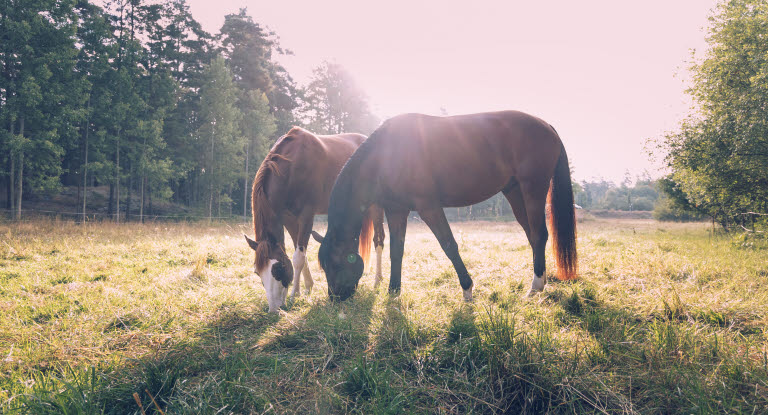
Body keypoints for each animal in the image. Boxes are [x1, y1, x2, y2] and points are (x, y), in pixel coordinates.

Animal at [244, 127, 384, 312]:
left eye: (279, 269)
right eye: (257, 272)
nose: (274, 309)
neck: (291, 167)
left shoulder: (306, 215)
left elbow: (298, 258)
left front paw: (294, 295)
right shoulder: (288, 219)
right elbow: (299, 253)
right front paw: (307, 287)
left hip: (376, 206)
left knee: (379, 241)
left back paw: (377, 281)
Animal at [316, 111, 576, 302]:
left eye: (336, 263)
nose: (335, 299)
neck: (386, 155)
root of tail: (546, 125)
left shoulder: (429, 207)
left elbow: (449, 245)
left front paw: (467, 289)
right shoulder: (396, 211)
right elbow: (396, 251)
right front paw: (393, 292)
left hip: (533, 190)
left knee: (540, 235)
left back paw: (535, 287)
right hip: (514, 192)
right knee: (532, 235)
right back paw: (540, 282)